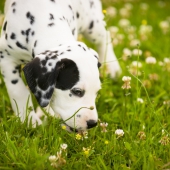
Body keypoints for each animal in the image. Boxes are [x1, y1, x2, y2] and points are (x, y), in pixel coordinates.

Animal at [0, 0, 121, 131]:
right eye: (77, 91)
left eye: (97, 92)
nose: (92, 123)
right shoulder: (5, 57)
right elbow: (18, 91)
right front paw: (29, 120)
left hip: (91, 23)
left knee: (104, 36)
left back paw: (113, 67)